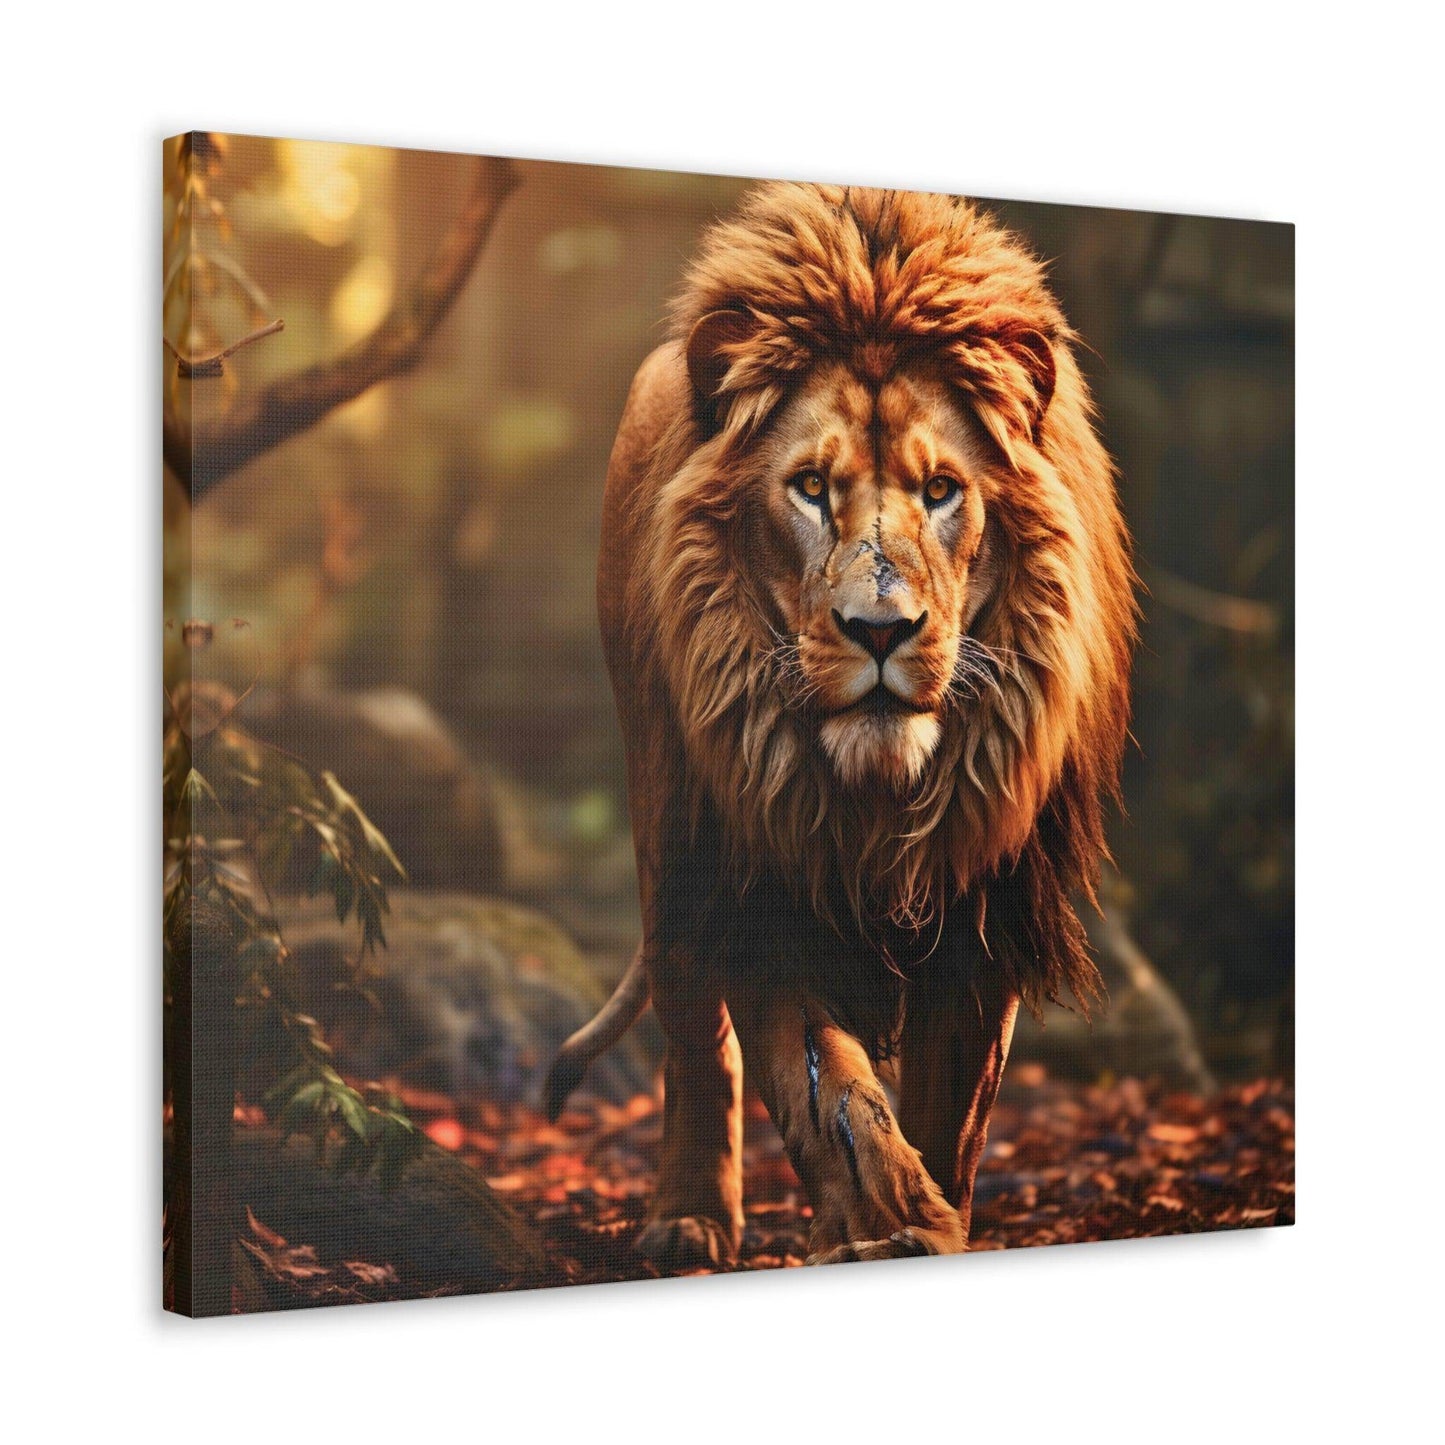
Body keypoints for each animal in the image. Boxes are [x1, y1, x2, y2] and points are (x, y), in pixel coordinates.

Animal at [544, 182, 1137, 1268]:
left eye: (941, 490)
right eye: (810, 488)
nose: (879, 628)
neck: (880, 796)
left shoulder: (981, 910)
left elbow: (950, 1112)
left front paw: (928, 1219)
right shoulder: (760, 878)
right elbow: (827, 1094)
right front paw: (887, 1222)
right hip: (667, 822)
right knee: (694, 1032)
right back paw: (688, 1215)